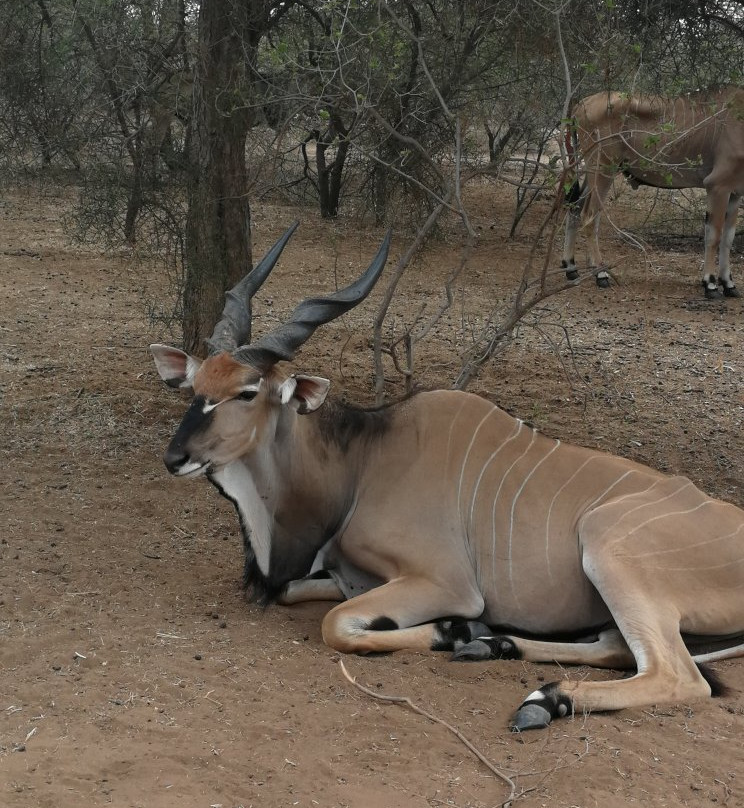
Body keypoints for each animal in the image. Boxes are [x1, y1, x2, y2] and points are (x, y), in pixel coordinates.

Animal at [151, 224, 744, 728]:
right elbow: (294, 591)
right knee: (617, 647)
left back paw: (542, 695)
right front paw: (473, 636)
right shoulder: (340, 574)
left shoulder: (444, 584)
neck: (362, 461)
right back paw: (497, 648)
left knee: (677, 675)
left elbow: (337, 625)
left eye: (247, 392)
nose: (175, 458)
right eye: (195, 385)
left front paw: (451, 629)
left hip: (609, 549)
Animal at [564, 86, 744, 300]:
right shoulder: (717, 187)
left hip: (594, 174)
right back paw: (601, 274)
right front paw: (710, 284)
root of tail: (581, 105)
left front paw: (729, 284)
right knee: (588, 215)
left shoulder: (734, 193)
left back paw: (571, 267)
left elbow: (728, 239)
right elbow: (714, 236)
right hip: (603, 169)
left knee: (576, 207)